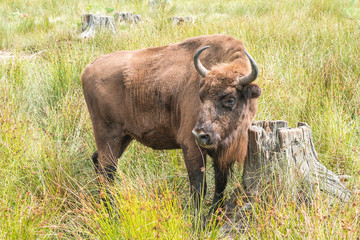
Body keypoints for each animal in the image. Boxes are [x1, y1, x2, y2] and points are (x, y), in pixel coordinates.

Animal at [81, 34, 262, 212]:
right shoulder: (191, 146)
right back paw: (111, 211)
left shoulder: (221, 155)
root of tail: (88, 68)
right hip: (108, 135)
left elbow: (220, 185)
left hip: (124, 137)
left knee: (99, 162)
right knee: (107, 169)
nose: (200, 134)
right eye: (201, 96)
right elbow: (198, 187)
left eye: (230, 99)